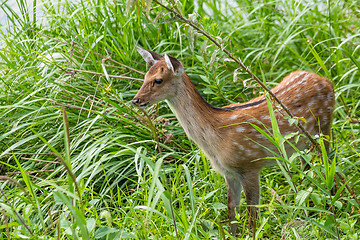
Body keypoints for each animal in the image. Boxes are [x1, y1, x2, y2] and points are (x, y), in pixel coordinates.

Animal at [131, 46, 334, 235]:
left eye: (158, 80)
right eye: (145, 77)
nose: (136, 100)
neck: (216, 138)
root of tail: (326, 81)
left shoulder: (250, 165)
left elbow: (252, 215)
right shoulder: (228, 173)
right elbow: (232, 211)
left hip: (323, 129)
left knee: (327, 164)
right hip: (303, 143)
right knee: (306, 167)